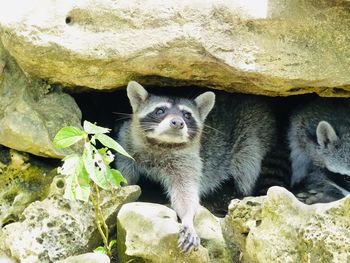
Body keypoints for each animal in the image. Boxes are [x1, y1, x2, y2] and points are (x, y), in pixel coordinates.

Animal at [115, 81, 276, 253]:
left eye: (187, 115)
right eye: (160, 110)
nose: (178, 123)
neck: (162, 144)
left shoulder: (187, 159)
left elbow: (185, 194)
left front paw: (187, 219)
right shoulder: (127, 144)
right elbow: (125, 175)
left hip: (254, 129)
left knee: (247, 162)